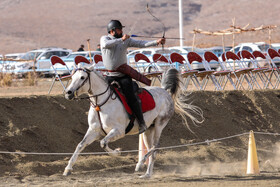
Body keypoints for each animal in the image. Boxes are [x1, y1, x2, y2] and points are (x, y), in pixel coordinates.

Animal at [63, 65, 203, 178]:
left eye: (82, 77)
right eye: (72, 77)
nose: (68, 93)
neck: (101, 104)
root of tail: (165, 91)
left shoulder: (118, 131)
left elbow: (103, 143)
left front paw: (117, 152)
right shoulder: (94, 131)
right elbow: (80, 145)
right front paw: (68, 169)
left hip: (159, 125)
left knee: (155, 147)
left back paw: (141, 166)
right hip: (148, 130)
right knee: (150, 147)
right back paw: (146, 172)